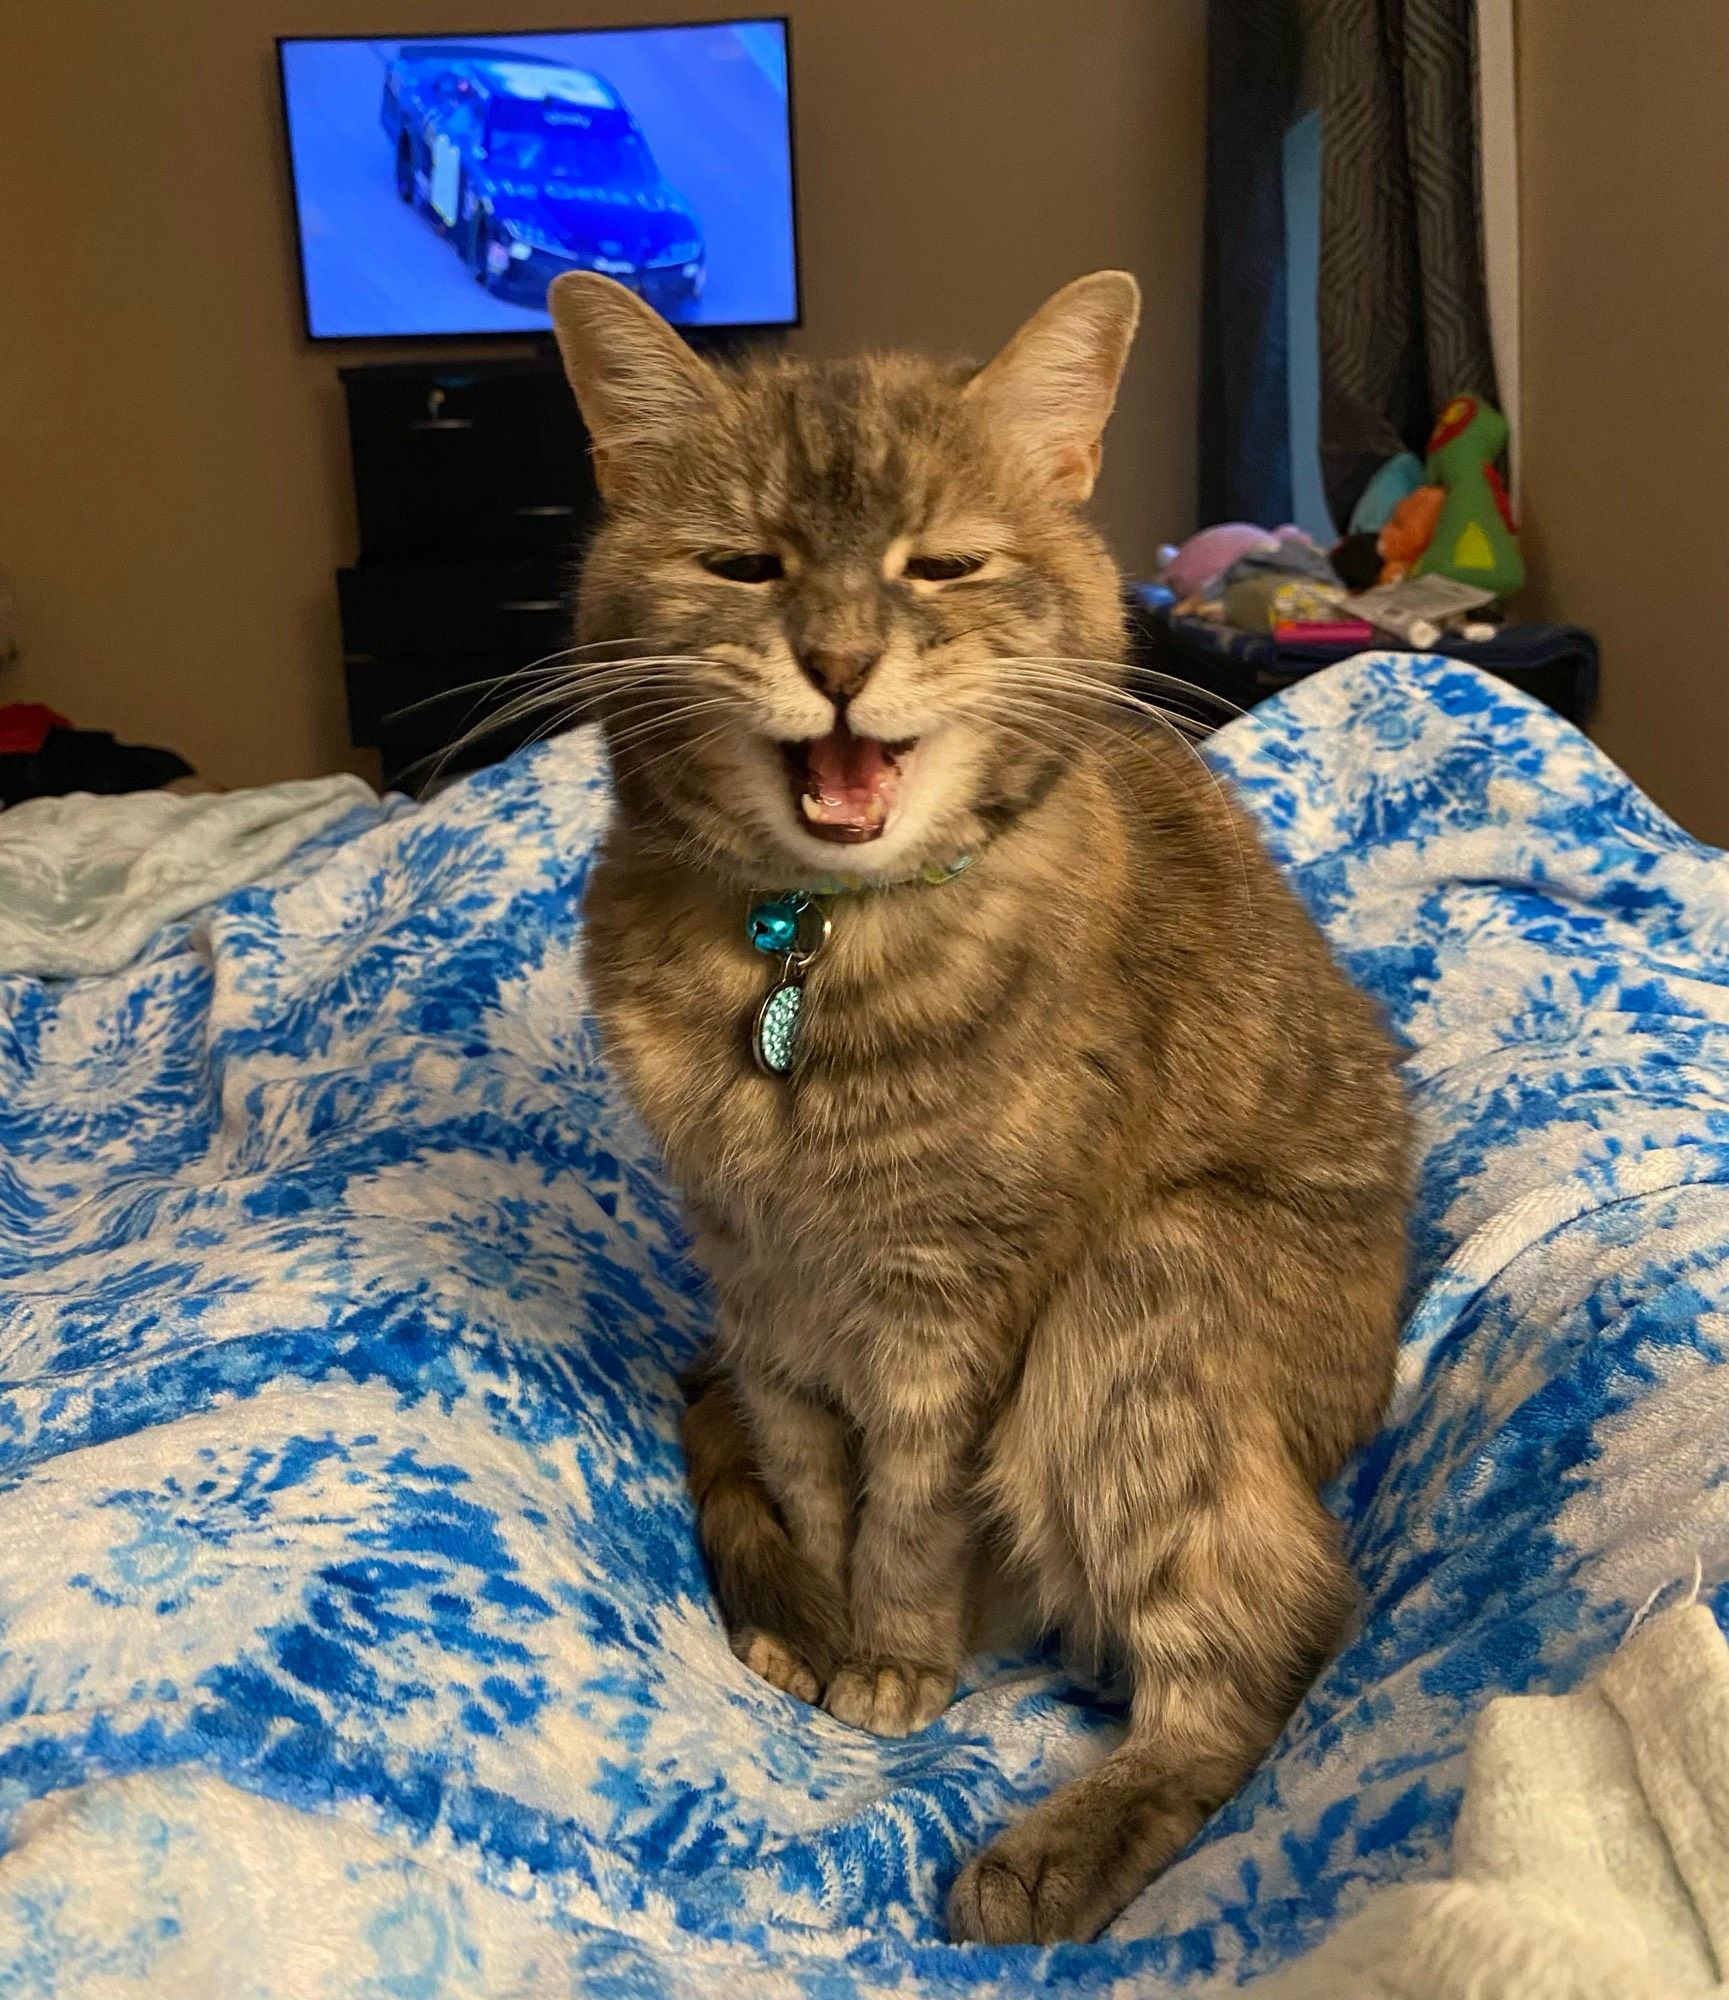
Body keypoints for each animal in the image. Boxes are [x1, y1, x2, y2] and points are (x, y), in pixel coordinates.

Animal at [548, 274, 1408, 1944]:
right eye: (744, 565)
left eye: (940, 564)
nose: (835, 658)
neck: (813, 947)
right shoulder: (754, 1286)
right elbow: (807, 1475)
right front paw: (823, 1631)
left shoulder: (956, 1300)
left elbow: (909, 1504)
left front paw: (890, 1655)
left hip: (1151, 1303)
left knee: (1266, 1645)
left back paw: (1056, 1849)